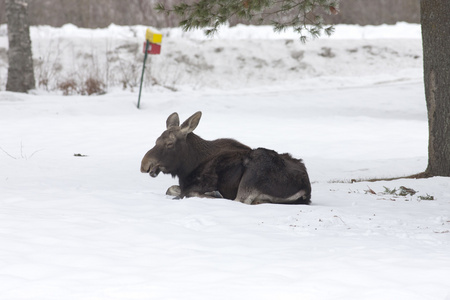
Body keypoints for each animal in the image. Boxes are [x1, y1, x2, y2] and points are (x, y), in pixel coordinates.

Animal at [139, 111, 312, 205]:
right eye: (156, 140)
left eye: (169, 143)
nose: (145, 164)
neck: (187, 167)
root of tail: (306, 188)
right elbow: (171, 189)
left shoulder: (200, 184)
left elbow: (183, 192)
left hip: (252, 174)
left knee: (238, 201)